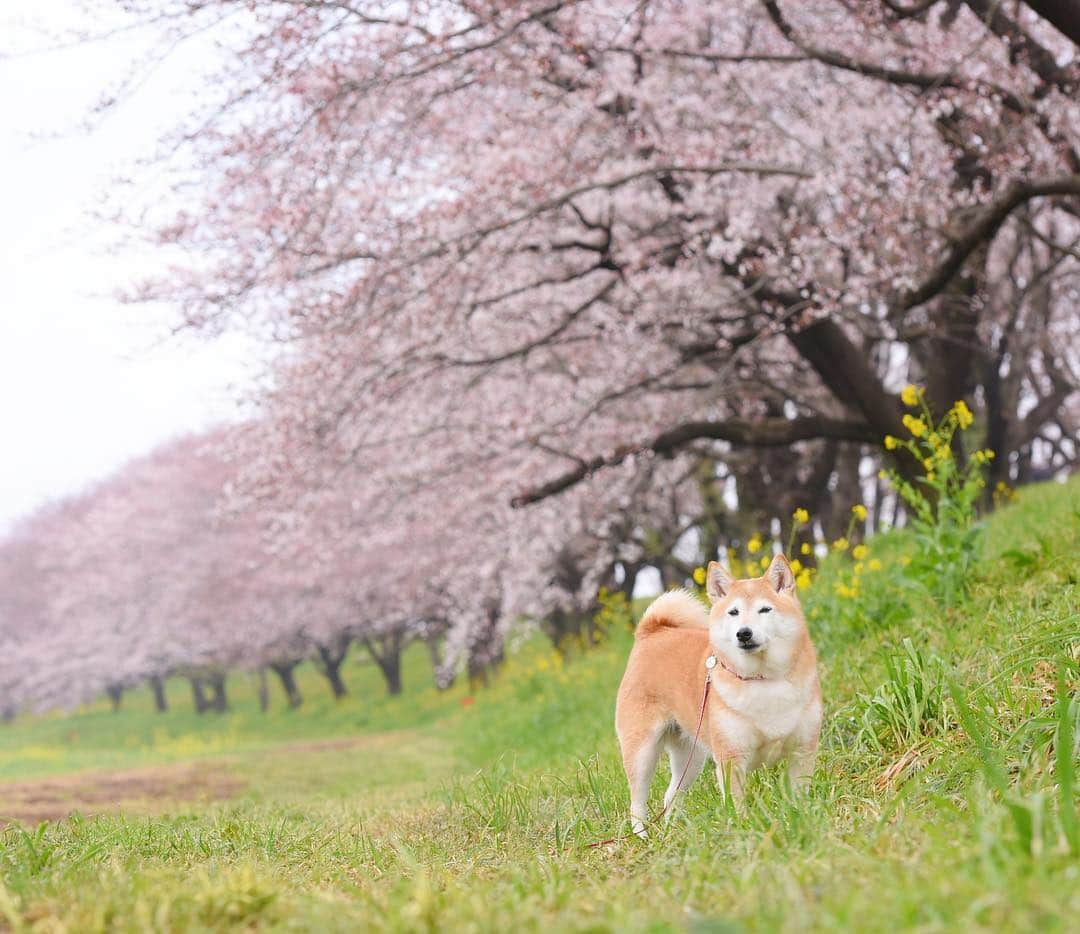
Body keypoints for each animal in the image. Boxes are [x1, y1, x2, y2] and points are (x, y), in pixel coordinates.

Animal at [617, 552, 816, 837]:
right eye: (733, 612)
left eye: (765, 609)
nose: (744, 633)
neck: (763, 679)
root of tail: (652, 633)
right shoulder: (731, 760)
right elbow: (737, 805)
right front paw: (745, 831)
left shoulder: (803, 750)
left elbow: (799, 795)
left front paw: (800, 820)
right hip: (642, 752)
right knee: (636, 802)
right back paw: (643, 836)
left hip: (691, 757)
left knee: (671, 796)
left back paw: (673, 832)